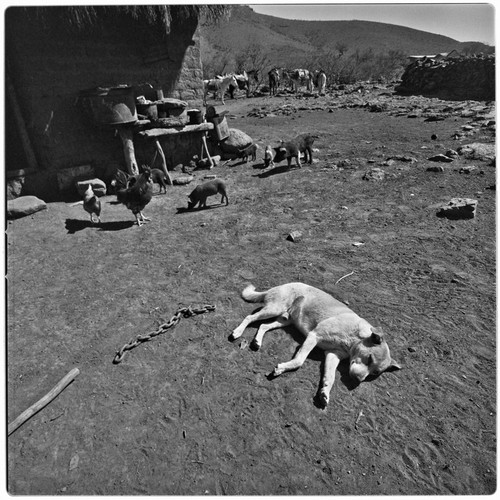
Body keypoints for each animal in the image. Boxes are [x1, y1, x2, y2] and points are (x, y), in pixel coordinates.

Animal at [231, 282, 402, 406]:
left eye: (374, 373)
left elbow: (330, 377)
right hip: (274, 309)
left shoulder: (333, 355)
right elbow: (299, 361)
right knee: (250, 317)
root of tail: (280, 285)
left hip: (284, 320)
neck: (354, 337)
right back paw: (237, 332)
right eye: (370, 358)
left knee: (262, 326)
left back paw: (257, 341)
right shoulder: (314, 336)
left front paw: (325, 392)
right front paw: (282, 368)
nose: (357, 380)